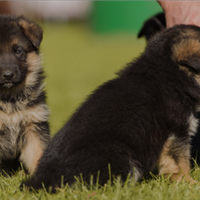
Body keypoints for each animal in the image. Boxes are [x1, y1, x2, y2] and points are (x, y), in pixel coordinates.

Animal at [21, 24, 200, 191]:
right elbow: (181, 163)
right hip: (121, 155)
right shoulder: (177, 133)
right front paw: (189, 183)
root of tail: (46, 177)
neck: (169, 73)